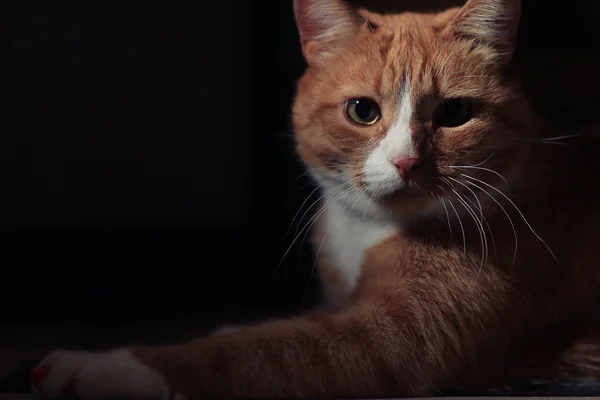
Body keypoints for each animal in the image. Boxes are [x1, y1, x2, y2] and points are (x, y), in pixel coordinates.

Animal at [30, 0, 600, 398]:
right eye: (362, 110)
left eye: (455, 113)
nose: (406, 162)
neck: (364, 228)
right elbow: (267, 327)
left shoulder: (392, 338)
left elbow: (258, 351)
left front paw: (114, 367)